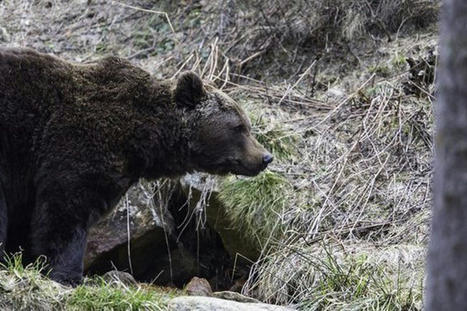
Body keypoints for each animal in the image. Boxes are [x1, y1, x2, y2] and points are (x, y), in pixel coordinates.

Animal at [0, 47, 272, 286]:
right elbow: (65, 211)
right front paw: (68, 275)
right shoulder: (74, 147)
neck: (140, 138)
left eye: (247, 125)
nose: (265, 157)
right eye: (238, 127)